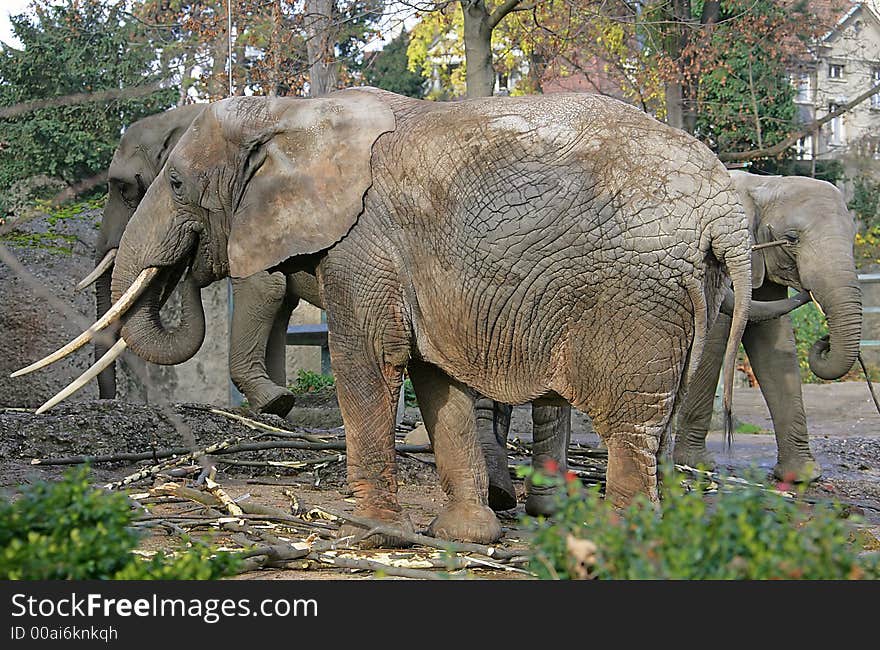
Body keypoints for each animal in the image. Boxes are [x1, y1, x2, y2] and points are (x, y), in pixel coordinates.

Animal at [31, 87, 752, 540]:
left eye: (174, 184)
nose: (182, 262)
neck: (290, 109)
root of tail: (726, 210)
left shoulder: (363, 243)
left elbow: (368, 362)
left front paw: (376, 531)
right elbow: (438, 381)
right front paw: (465, 536)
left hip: (633, 297)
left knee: (629, 424)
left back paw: (614, 542)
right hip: (689, 294)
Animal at [672, 170, 860, 478]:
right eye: (792, 238)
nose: (825, 340)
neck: (764, 183)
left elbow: (774, 345)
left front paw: (802, 476)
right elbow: (712, 341)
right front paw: (694, 465)